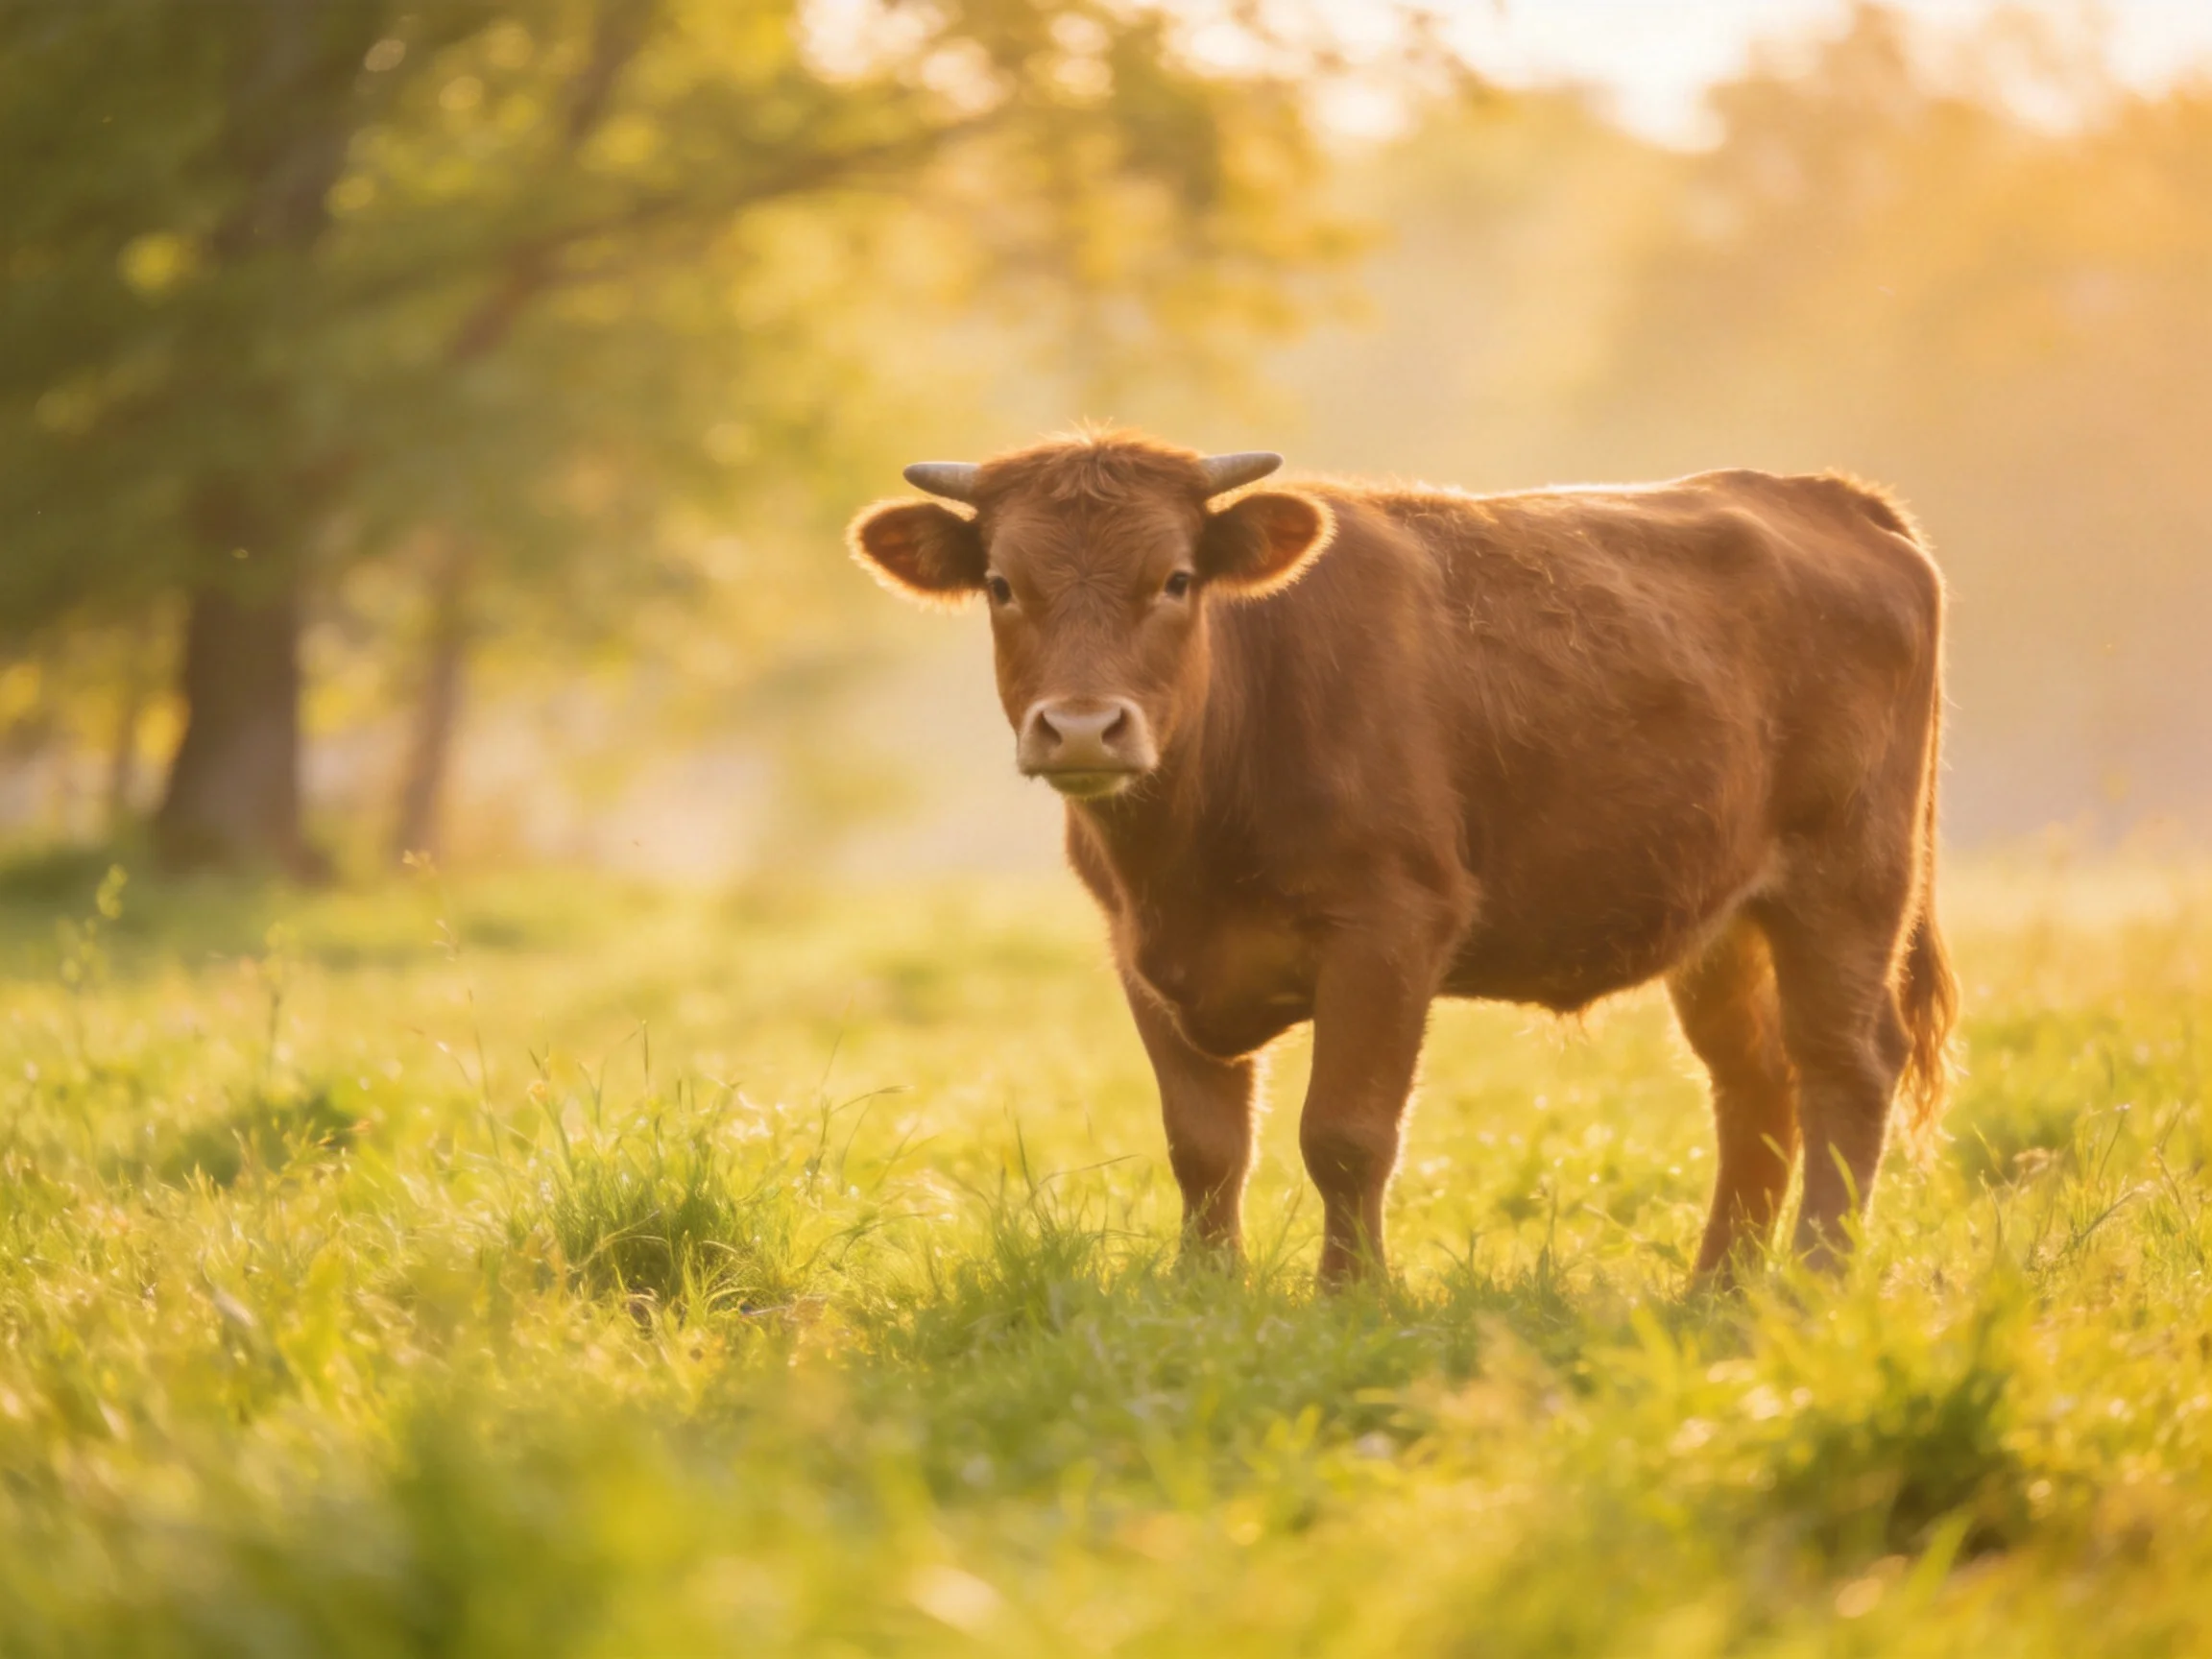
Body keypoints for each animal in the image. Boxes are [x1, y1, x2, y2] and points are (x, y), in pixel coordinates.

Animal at [847, 429, 1956, 1286]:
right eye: (1001, 584)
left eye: (1176, 578)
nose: (1082, 728)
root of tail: (1820, 492)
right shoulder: (1141, 950)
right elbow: (1204, 1145)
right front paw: (1204, 1292)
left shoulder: (1389, 928)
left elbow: (1344, 1135)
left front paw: (1354, 1297)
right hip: (1721, 919)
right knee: (1754, 1081)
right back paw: (1716, 1292)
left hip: (1848, 883)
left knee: (1846, 1066)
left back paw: (1814, 1281)